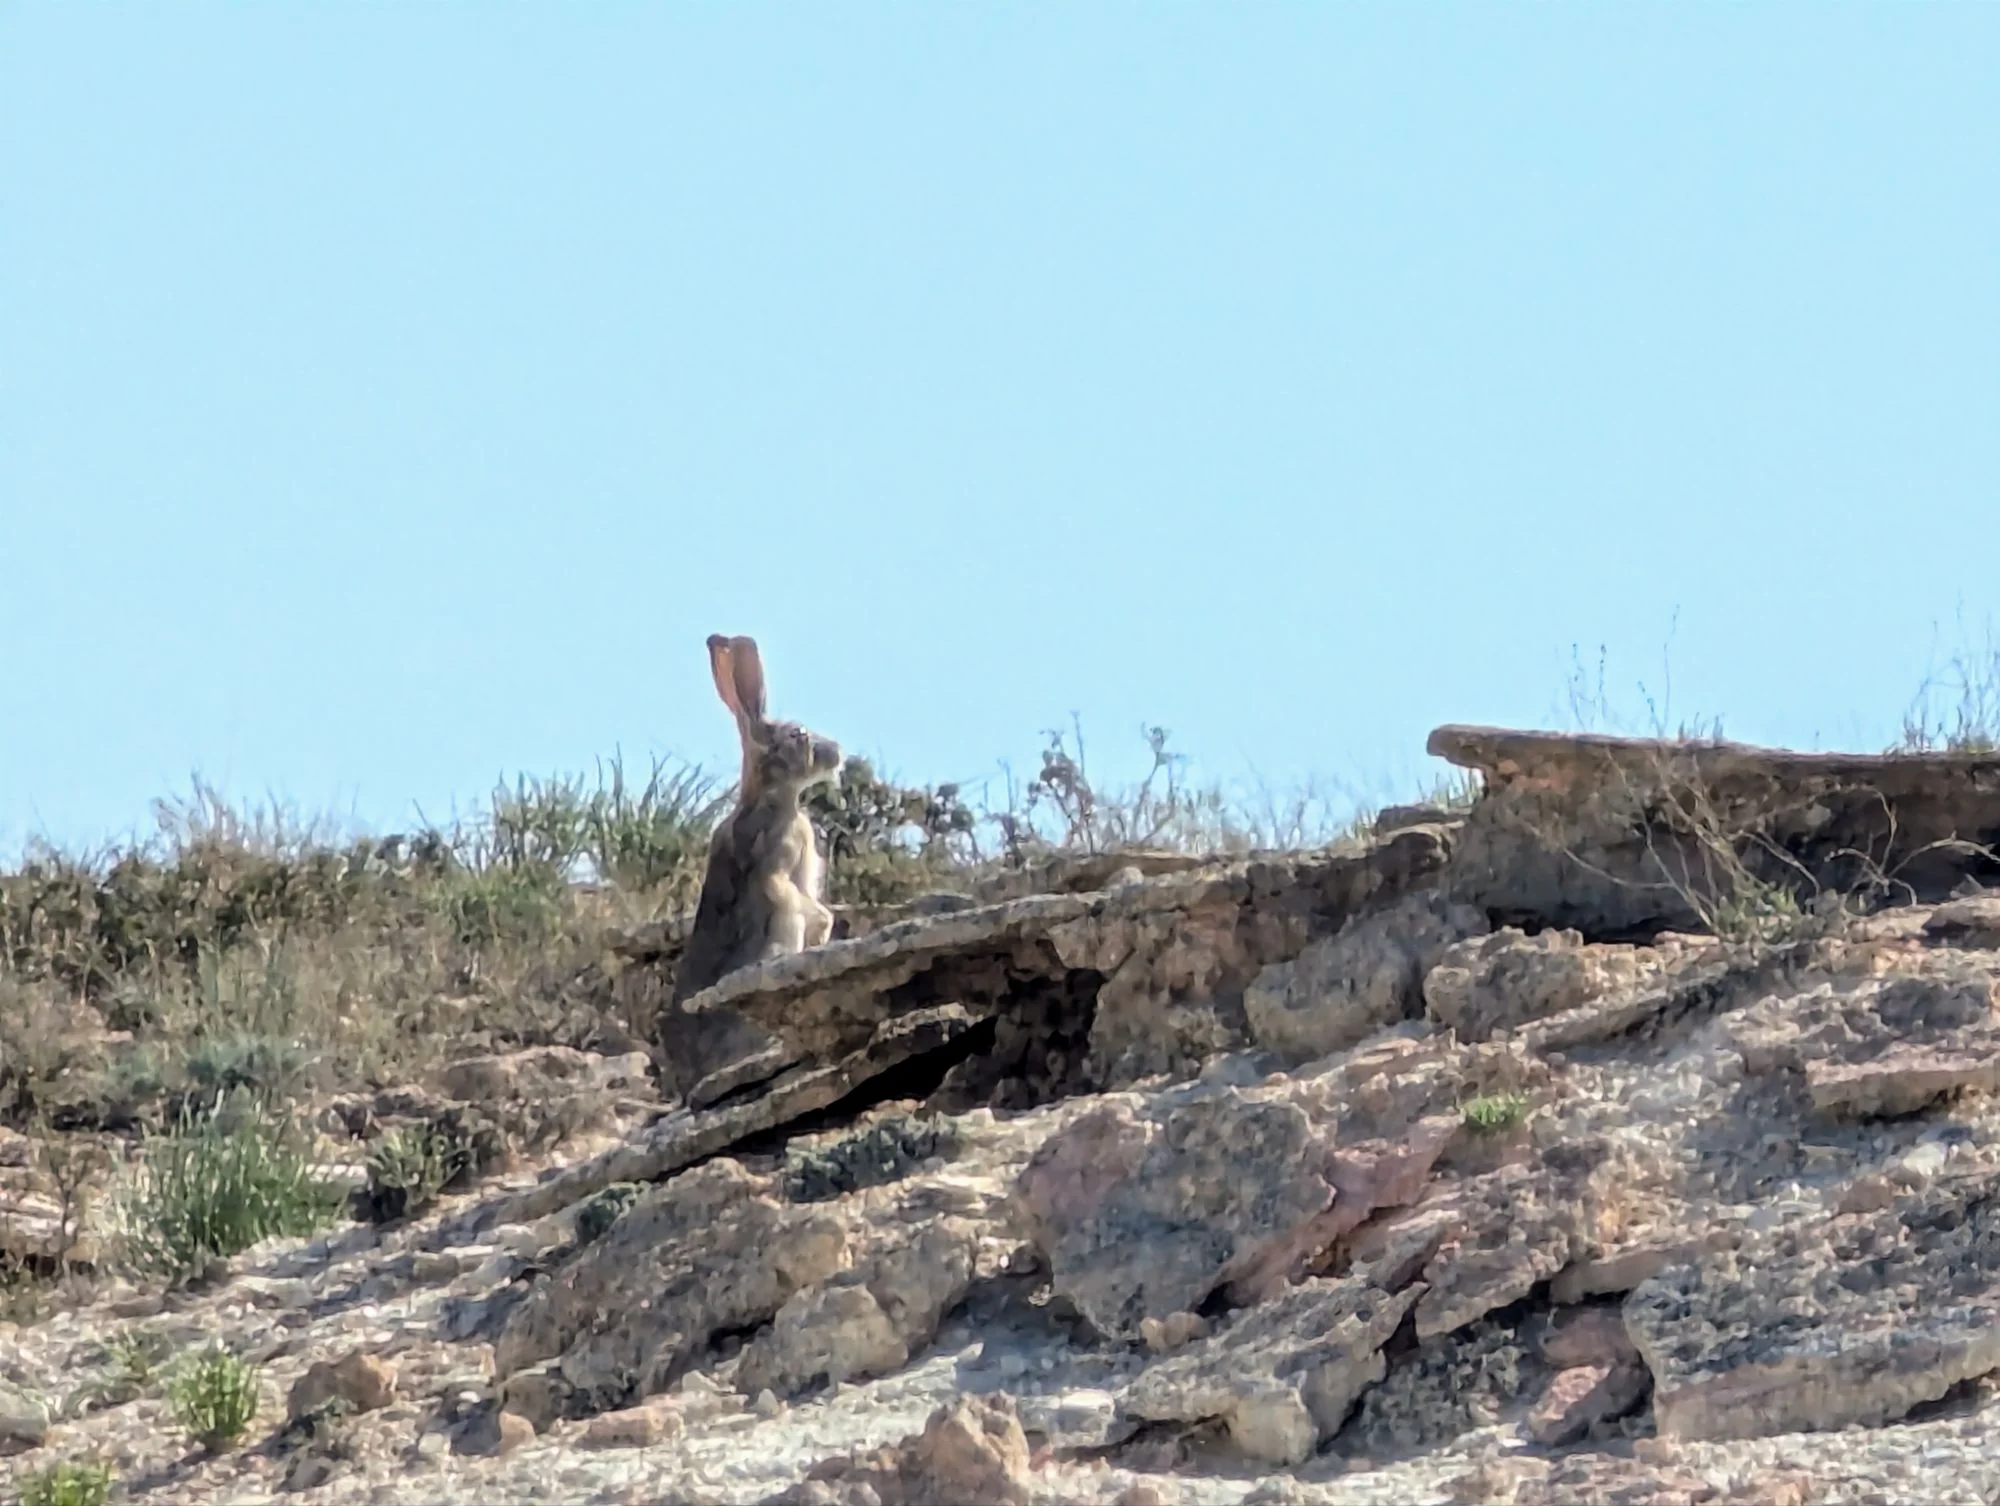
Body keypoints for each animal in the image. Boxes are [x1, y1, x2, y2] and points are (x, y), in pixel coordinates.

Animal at [669, 633, 844, 1008]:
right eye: (798, 733)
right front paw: (824, 929)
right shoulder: (784, 849)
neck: (771, 795)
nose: (837, 750)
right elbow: (780, 886)